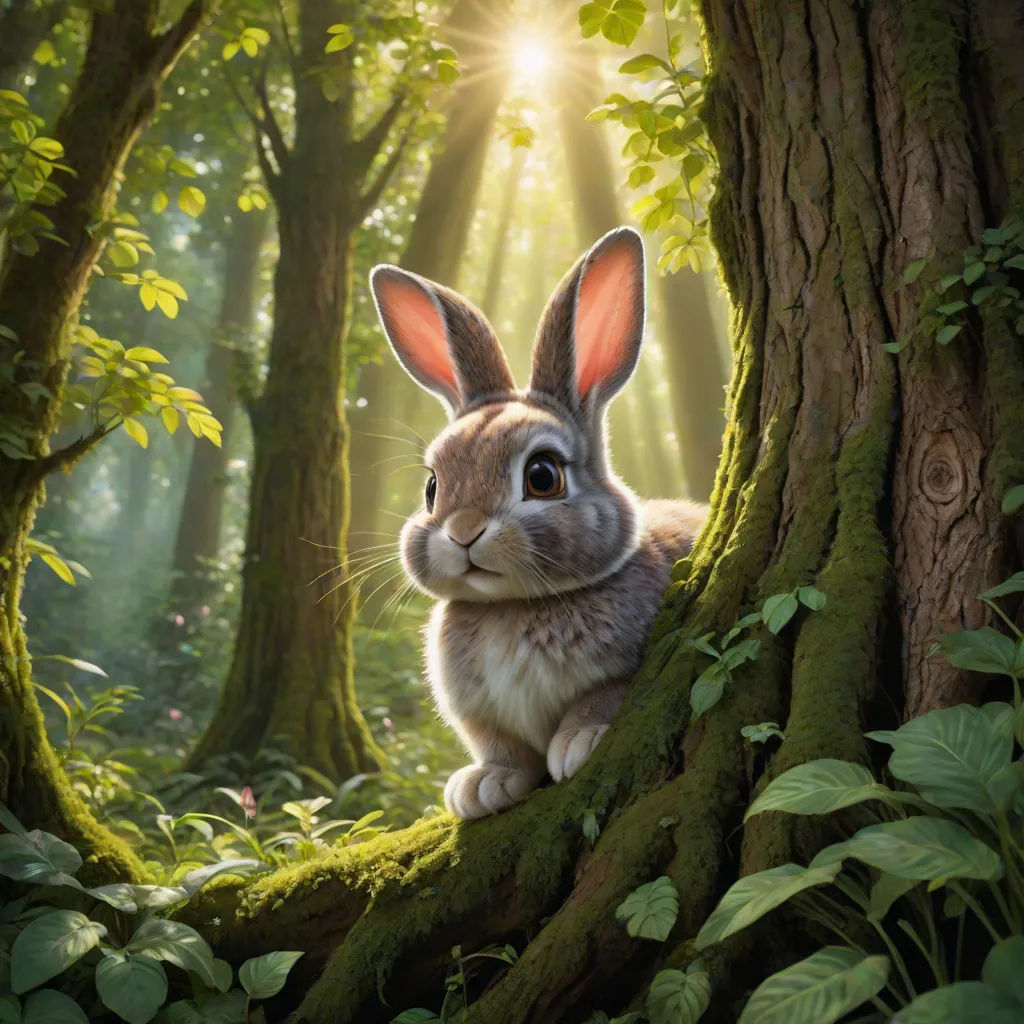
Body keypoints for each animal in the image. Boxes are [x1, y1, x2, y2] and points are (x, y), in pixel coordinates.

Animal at [369, 226, 707, 819]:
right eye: (432, 487)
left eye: (543, 476)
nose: (463, 532)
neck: (513, 607)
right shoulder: (481, 718)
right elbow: (500, 748)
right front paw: (480, 787)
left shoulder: (626, 669)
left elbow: (599, 700)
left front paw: (577, 746)